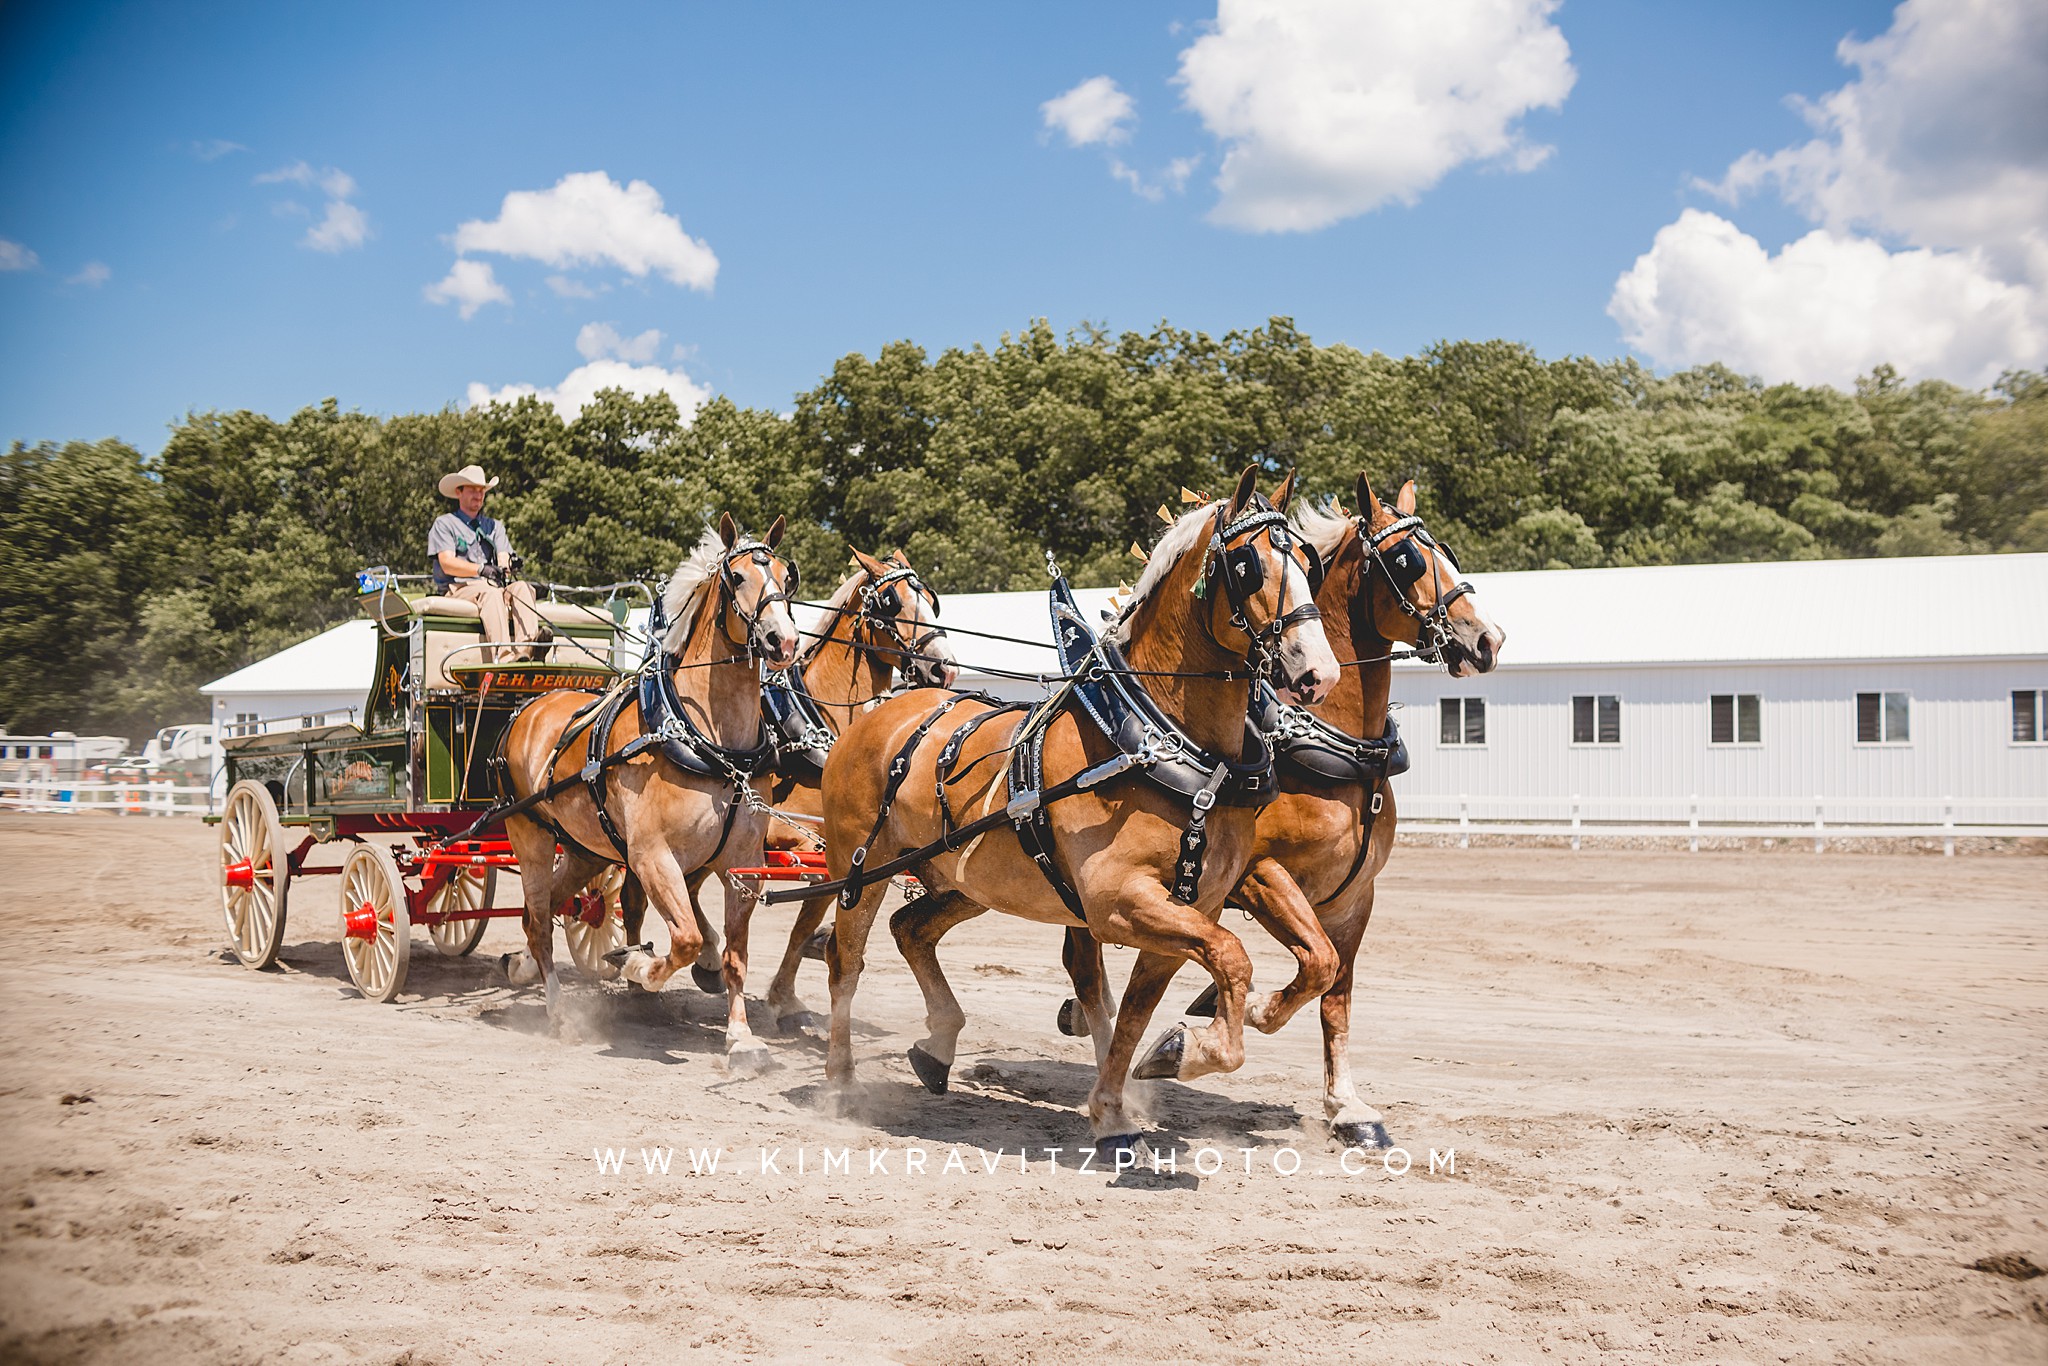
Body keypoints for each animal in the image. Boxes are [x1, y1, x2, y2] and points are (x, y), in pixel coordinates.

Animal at [499, 511, 802, 1064]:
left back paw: (523, 967)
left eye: (786, 578)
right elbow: (685, 940)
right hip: (529, 834)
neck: (710, 740)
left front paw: (741, 1036)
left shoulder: (743, 862)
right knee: (539, 923)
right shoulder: (651, 856)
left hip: (585, 849)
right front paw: (638, 966)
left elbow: (736, 956)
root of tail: (527, 708)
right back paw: (557, 1010)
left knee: (548, 908)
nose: (782, 642)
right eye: (736, 578)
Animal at [806, 471, 1351, 1155]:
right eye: (1247, 566)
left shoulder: (1189, 907)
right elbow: (1230, 956)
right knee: (844, 960)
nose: (1317, 673)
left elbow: (1142, 1008)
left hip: (968, 879)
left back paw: (937, 1045)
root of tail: (879, 714)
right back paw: (840, 1085)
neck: (1158, 737)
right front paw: (1188, 1050)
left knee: (911, 930)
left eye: (1309, 562)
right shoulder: (1116, 900)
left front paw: (1116, 1108)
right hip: (862, 867)